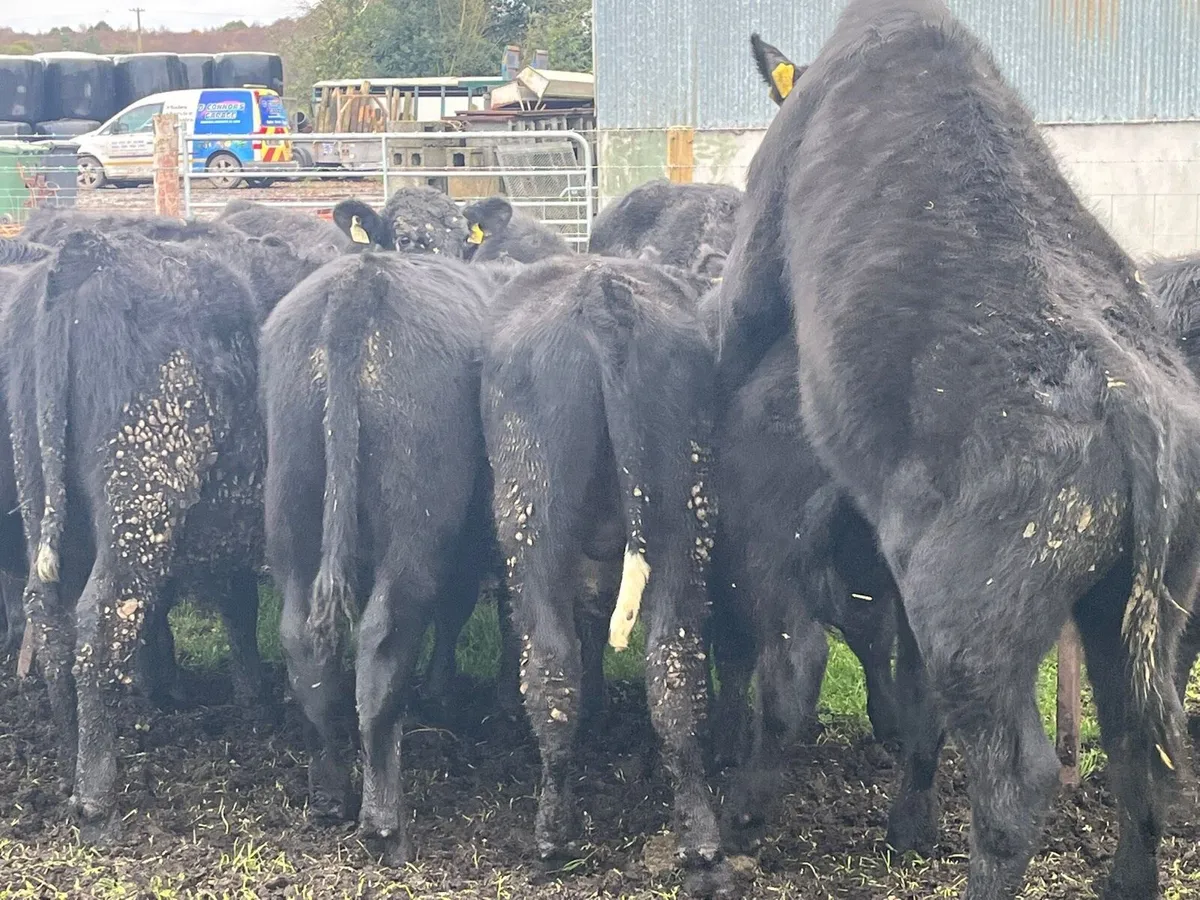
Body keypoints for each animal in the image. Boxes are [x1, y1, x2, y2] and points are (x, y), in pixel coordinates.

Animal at [5, 223, 323, 840]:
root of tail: (87, 252)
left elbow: (238, 604)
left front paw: (254, 701)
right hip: (142, 496)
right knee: (102, 622)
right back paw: (95, 796)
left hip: (44, 499)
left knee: (51, 619)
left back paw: (68, 761)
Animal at [261, 251, 508, 866]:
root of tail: (360, 280)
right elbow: (456, 607)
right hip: (416, 525)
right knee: (383, 642)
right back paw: (384, 824)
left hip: (292, 510)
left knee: (304, 644)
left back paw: (329, 798)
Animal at [481, 255, 734, 897]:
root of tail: (601, 288)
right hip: (684, 512)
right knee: (674, 666)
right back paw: (700, 839)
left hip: (530, 513)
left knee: (550, 664)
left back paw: (551, 834)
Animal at [711, 4, 1200, 897]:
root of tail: (1128, 400)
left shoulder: (761, 227)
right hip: (1142, 606)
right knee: (1136, 741)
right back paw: (1122, 880)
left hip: (970, 625)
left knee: (1016, 774)